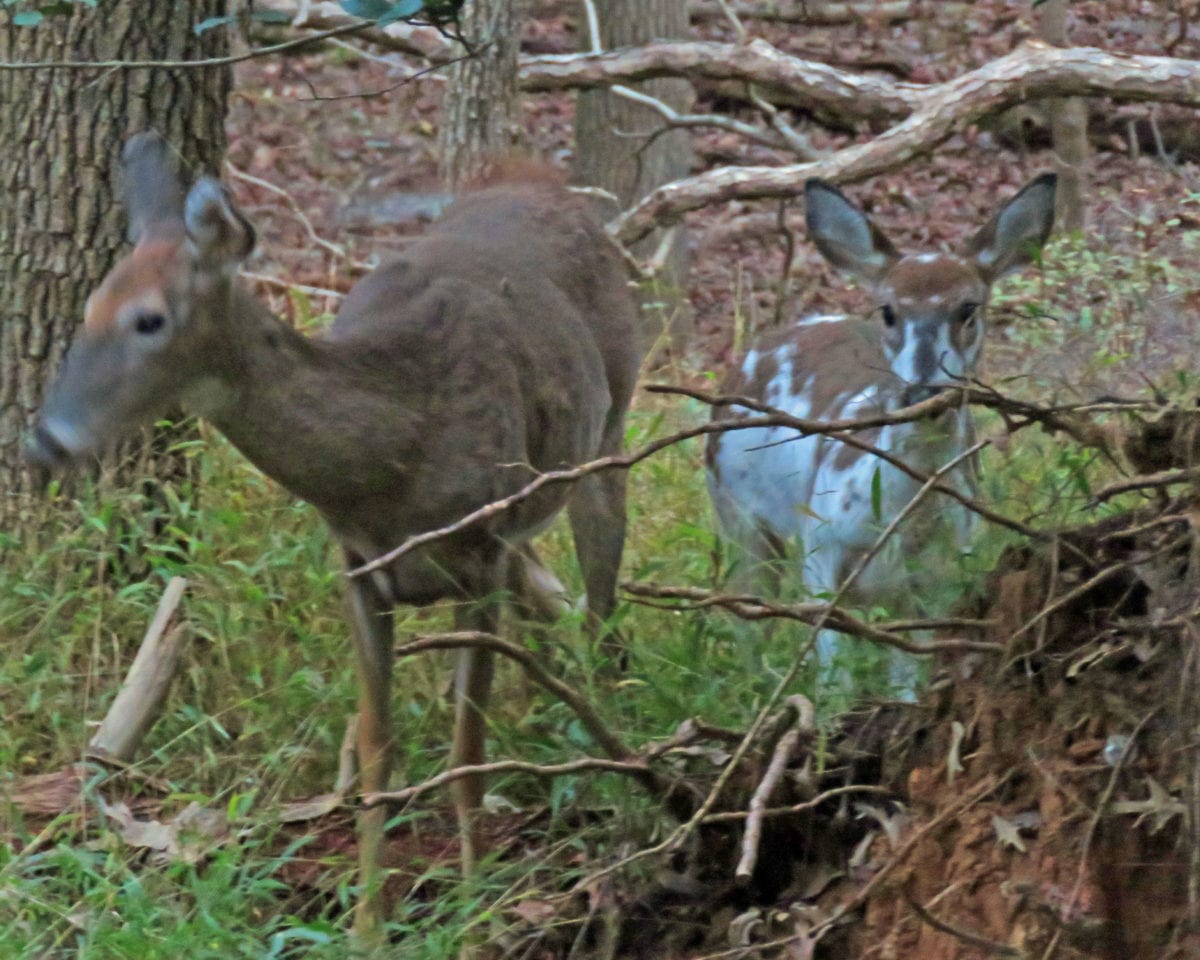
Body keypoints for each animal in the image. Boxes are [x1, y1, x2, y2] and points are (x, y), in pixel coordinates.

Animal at [28, 131, 643, 936]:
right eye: (89, 307)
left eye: (149, 319)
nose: (44, 441)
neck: (395, 463)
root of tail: (542, 180)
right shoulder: (358, 569)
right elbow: (379, 744)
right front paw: (368, 926)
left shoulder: (478, 555)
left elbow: (467, 747)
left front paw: (477, 917)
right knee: (549, 597)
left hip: (610, 430)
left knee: (602, 601)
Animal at [705, 172, 1056, 696]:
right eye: (888, 311)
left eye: (968, 308)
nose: (922, 389)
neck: (901, 521)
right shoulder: (821, 551)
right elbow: (834, 680)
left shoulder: (936, 583)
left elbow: (907, 686)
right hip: (738, 513)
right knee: (748, 614)